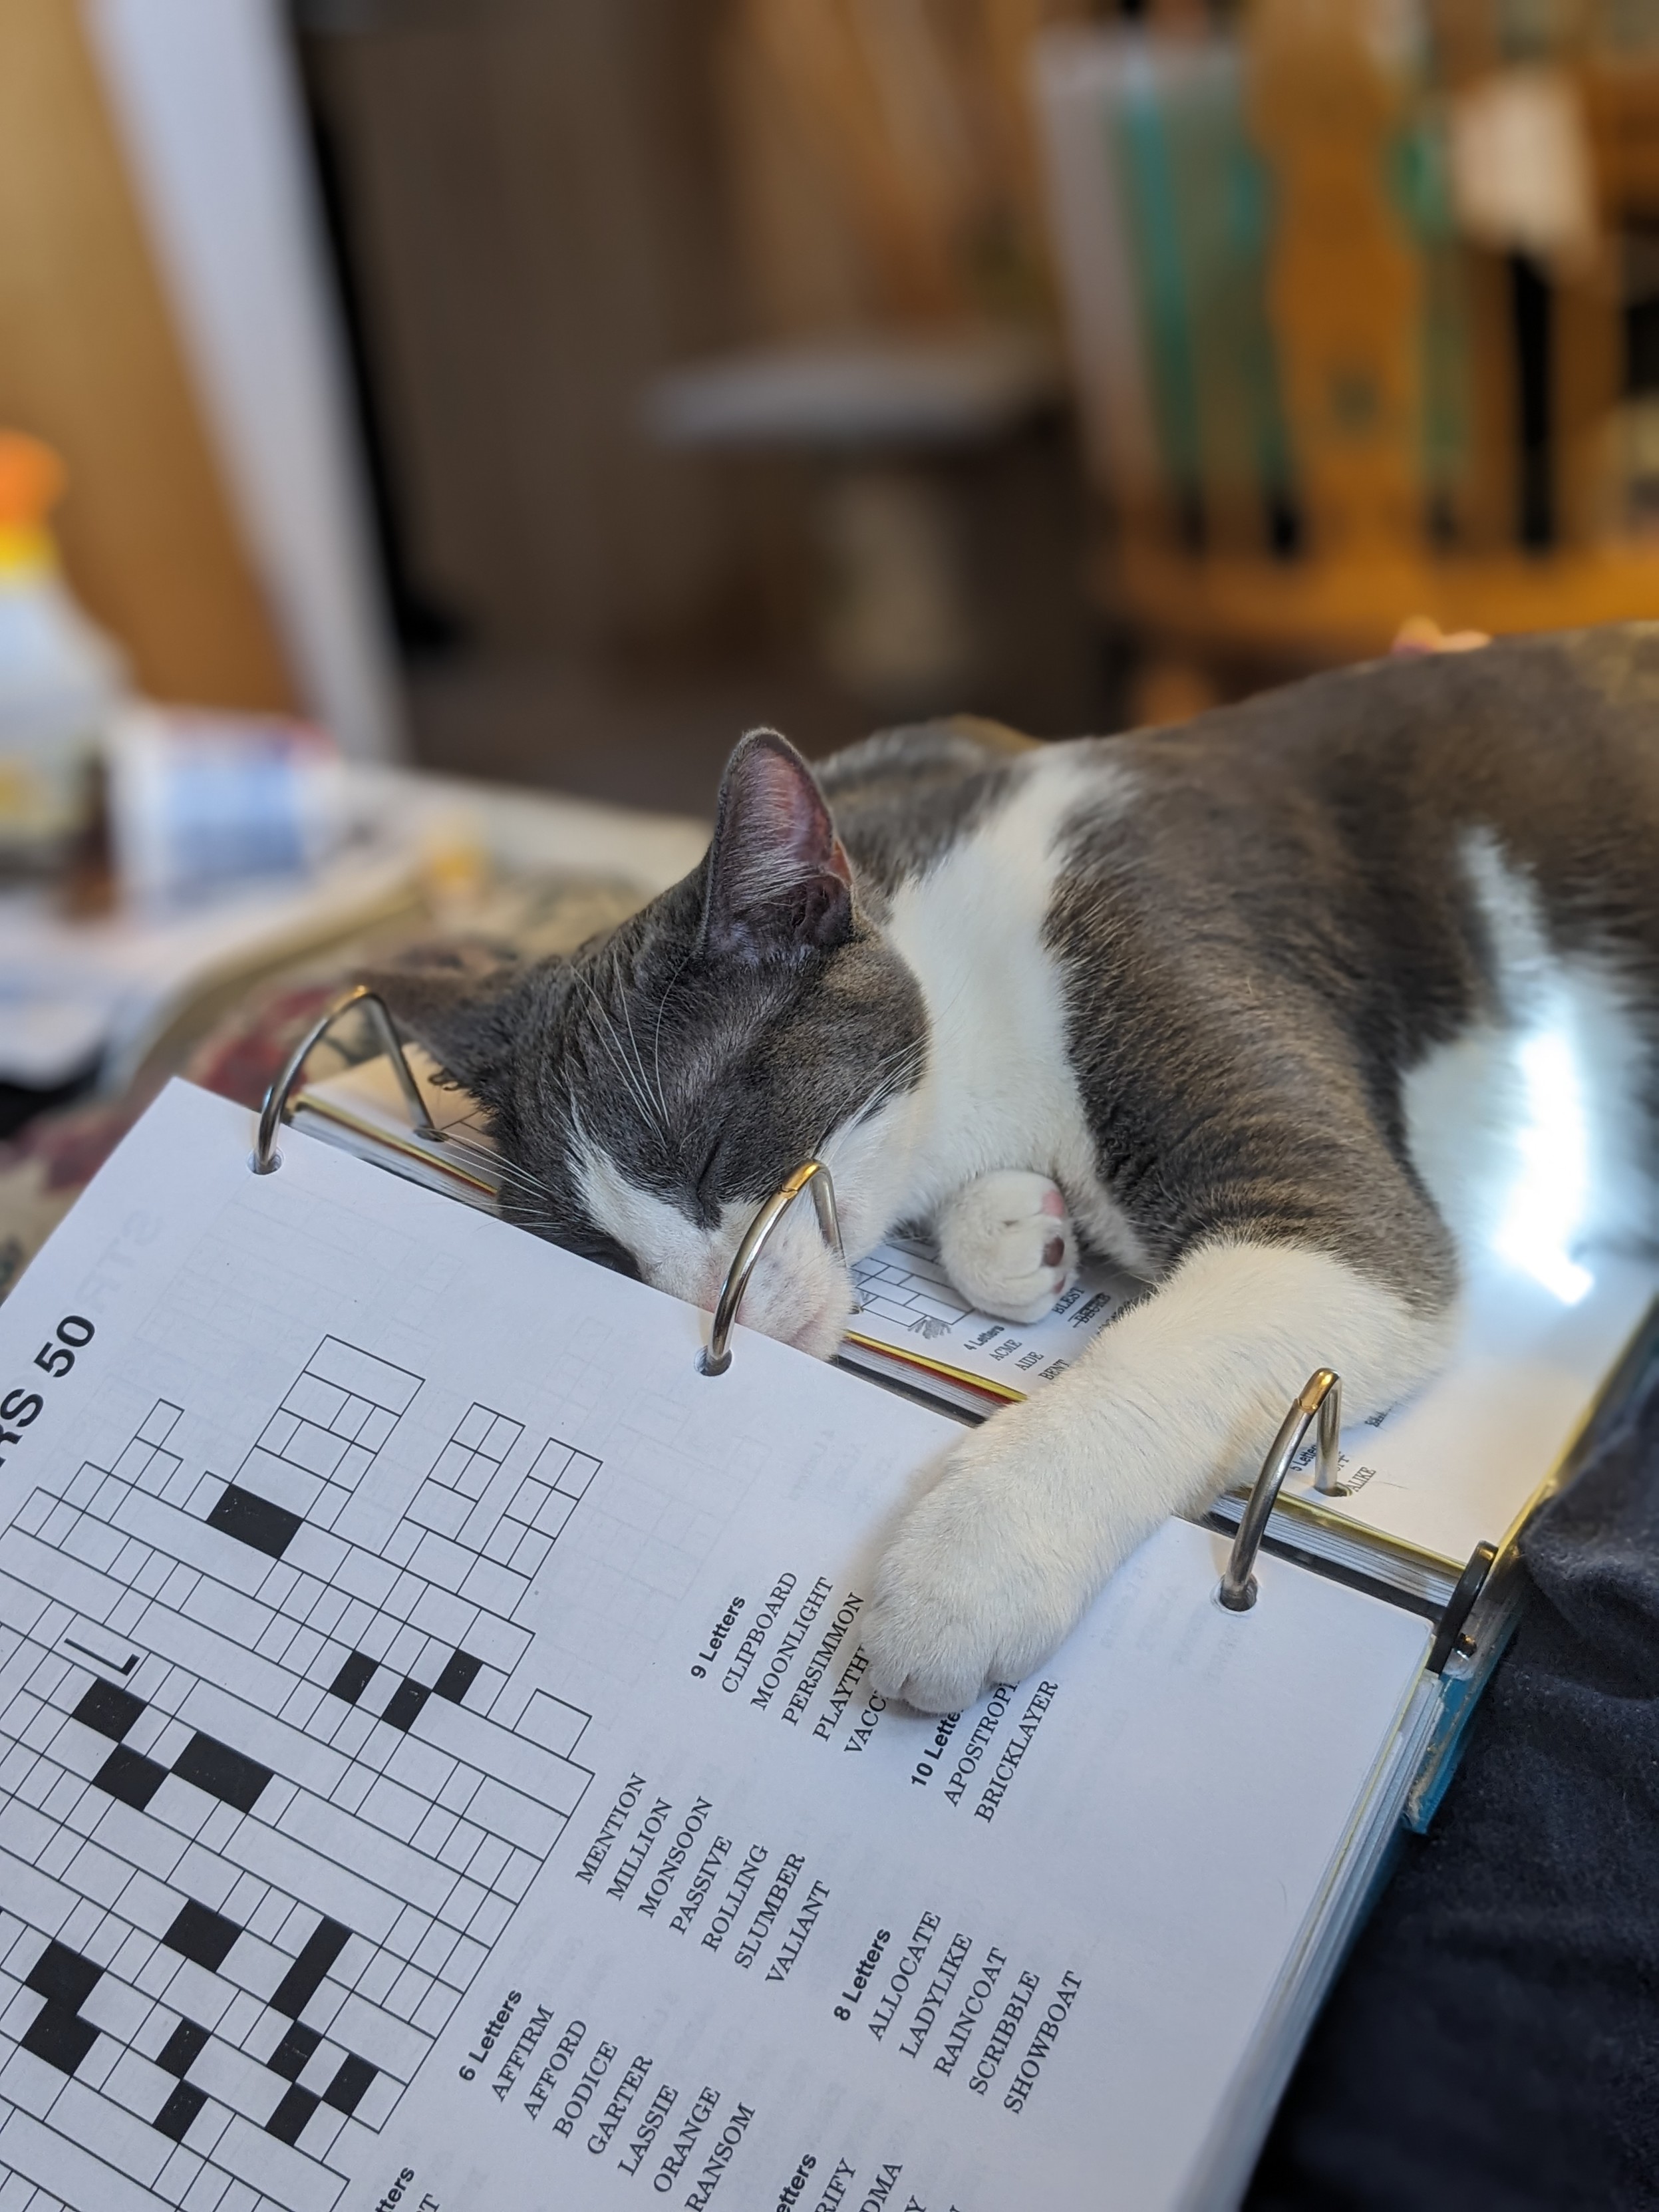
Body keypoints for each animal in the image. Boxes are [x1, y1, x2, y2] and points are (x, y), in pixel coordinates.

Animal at [376, 623, 1659, 1707]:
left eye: (706, 1157)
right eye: (597, 1250)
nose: (695, 1306)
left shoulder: (1177, 971)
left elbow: (1206, 1325)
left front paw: (962, 1570)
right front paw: (1016, 1234)